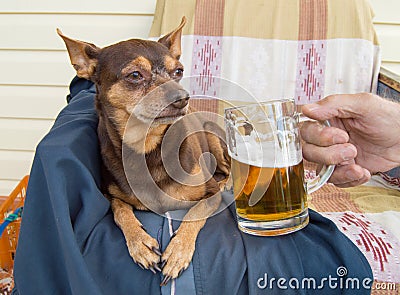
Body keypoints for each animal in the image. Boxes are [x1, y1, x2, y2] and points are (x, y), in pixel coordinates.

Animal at [57, 17, 230, 286]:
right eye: (135, 75)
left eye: (178, 71)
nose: (183, 98)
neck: (147, 148)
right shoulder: (110, 195)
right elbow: (120, 210)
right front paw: (140, 244)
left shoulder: (209, 195)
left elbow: (195, 211)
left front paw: (178, 252)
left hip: (213, 139)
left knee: (228, 171)